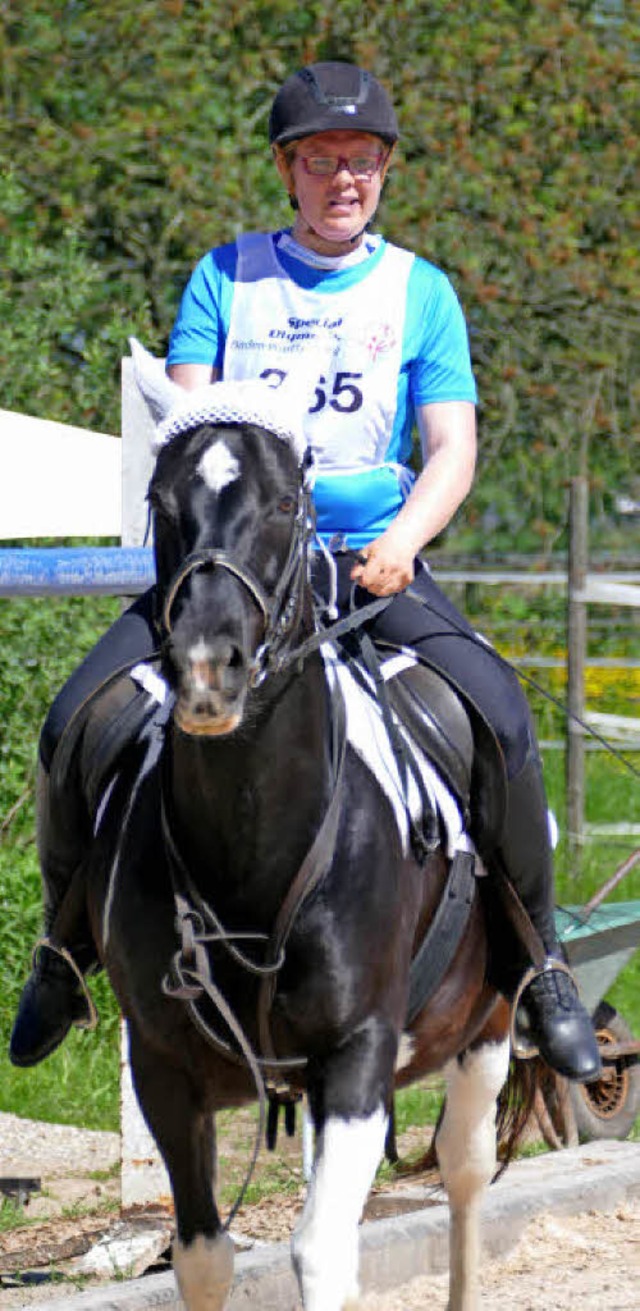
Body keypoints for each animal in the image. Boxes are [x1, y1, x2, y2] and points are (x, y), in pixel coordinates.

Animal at [82, 348, 524, 1311]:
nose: (208, 668)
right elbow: (202, 1253)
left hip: (489, 1026)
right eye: (163, 501)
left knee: (466, 1174)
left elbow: (320, 1249)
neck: (254, 844)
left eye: (286, 502)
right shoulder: (164, 1070)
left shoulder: (357, 1053)